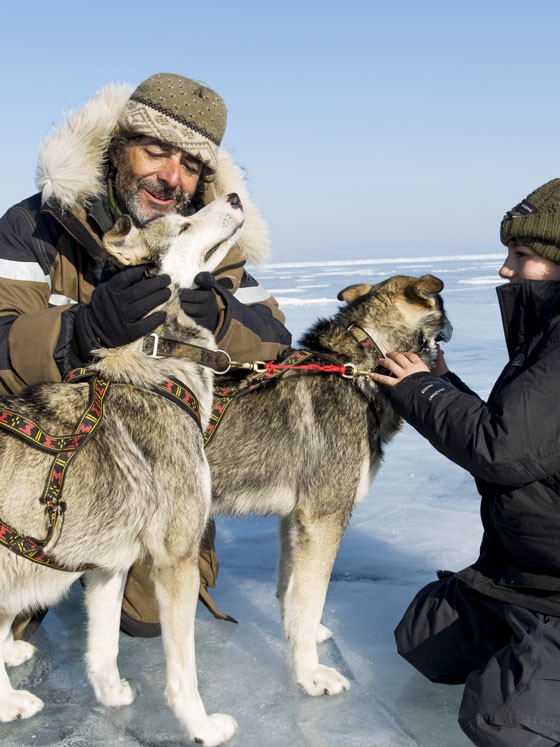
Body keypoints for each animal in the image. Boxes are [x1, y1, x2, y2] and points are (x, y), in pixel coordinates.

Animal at [206, 273, 452, 696]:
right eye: (442, 307)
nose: (451, 329)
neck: (360, 364)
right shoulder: (323, 518)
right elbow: (311, 598)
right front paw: (309, 674)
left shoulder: (294, 519)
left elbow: (290, 591)